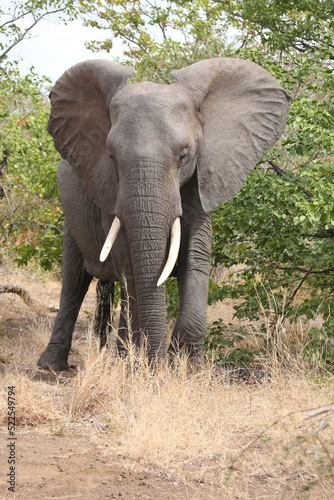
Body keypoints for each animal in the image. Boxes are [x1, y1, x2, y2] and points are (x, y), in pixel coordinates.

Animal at [37, 57, 290, 372]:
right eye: (111, 157)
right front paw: (148, 367)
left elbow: (196, 255)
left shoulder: (201, 180)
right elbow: (129, 261)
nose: (159, 364)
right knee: (74, 282)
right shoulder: (109, 190)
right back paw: (52, 366)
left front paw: (188, 368)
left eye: (184, 156)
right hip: (72, 217)